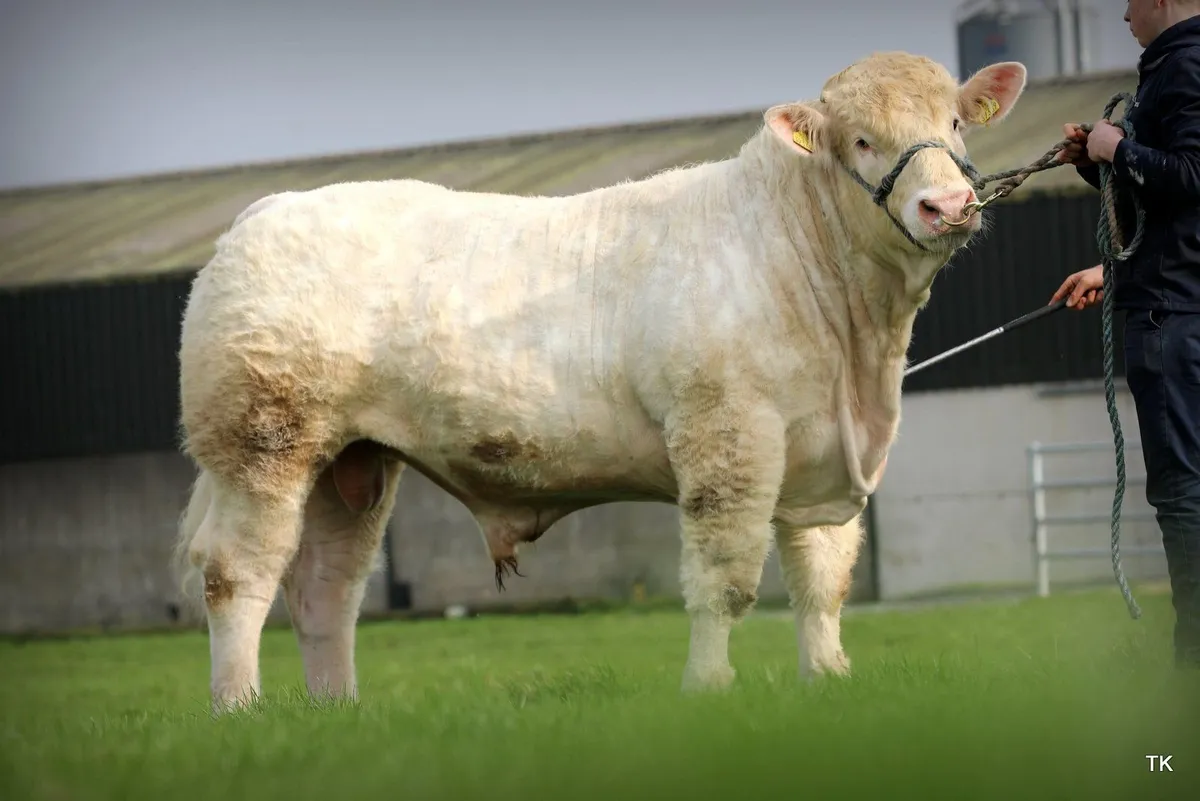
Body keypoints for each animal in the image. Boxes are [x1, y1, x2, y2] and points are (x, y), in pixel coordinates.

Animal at [173, 50, 1027, 712]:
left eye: (954, 123)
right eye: (861, 138)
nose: (947, 204)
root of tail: (265, 211)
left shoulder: (821, 451)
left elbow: (823, 579)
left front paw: (829, 678)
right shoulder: (728, 437)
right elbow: (724, 577)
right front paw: (708, 685)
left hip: (351, 461)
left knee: (327, 584)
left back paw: (338, 708)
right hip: (262, 442)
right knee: (239, 573)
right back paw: (238, 706)